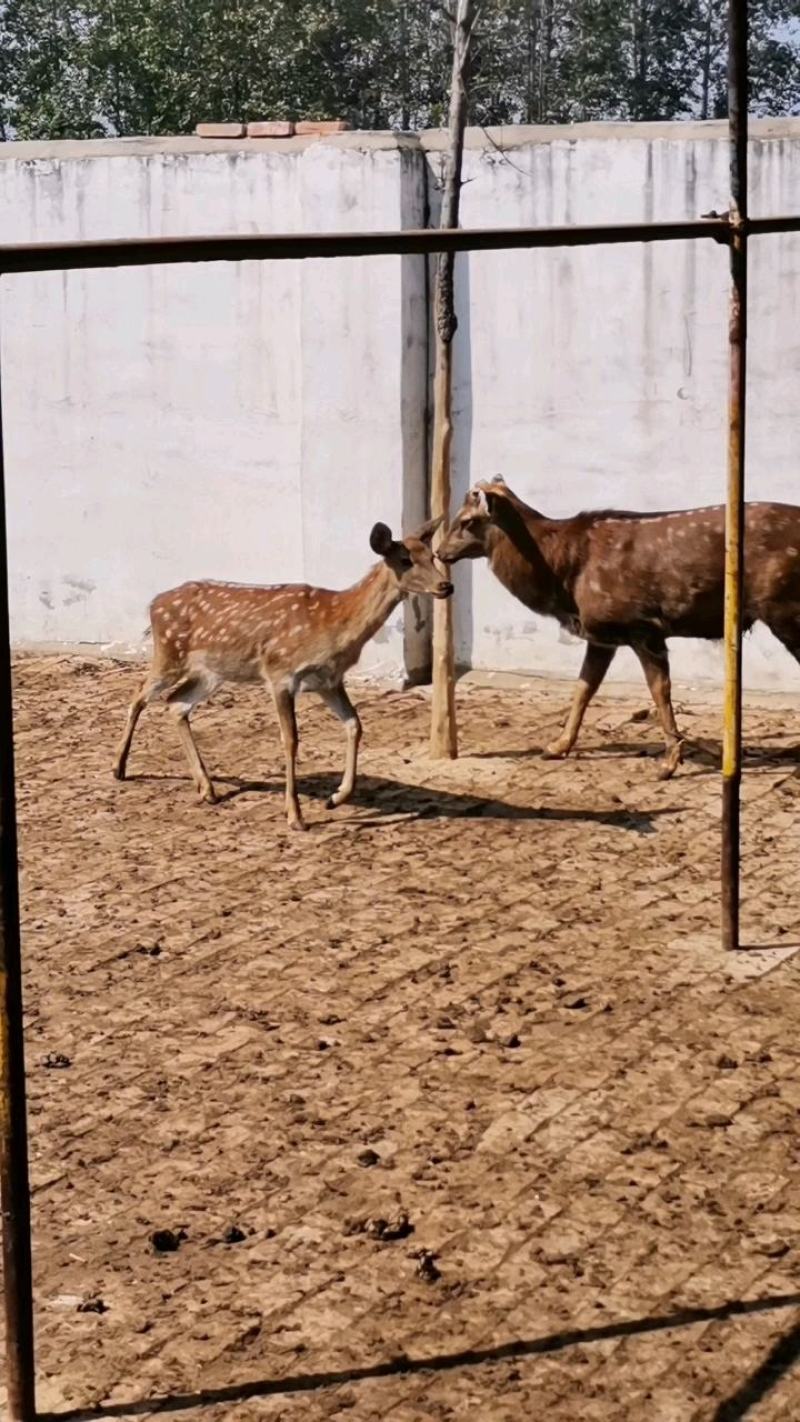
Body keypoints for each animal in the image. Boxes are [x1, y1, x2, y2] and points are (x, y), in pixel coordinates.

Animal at [113, 519, 453, 830]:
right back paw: (119, 768)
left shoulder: (329, 680)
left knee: (176, 702)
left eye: (432, 555)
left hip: (211, 673)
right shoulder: (280, 672)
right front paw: (295, 816)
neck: (334, 623)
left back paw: (207, 789)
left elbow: (355, 725)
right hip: (169, 654)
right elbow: (290, 739)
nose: (445, 586)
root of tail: (154, 604)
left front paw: (335, 797)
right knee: (139, 693)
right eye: (406, 560)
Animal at [438, 477, 800, 778]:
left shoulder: (641, 625)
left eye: (467, 521)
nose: (440, 552)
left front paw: (669, 763)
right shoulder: (602, 636)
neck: (563, 578)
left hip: (784, 607)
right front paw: (556, 746)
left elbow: (659, 690)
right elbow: (584, 687)